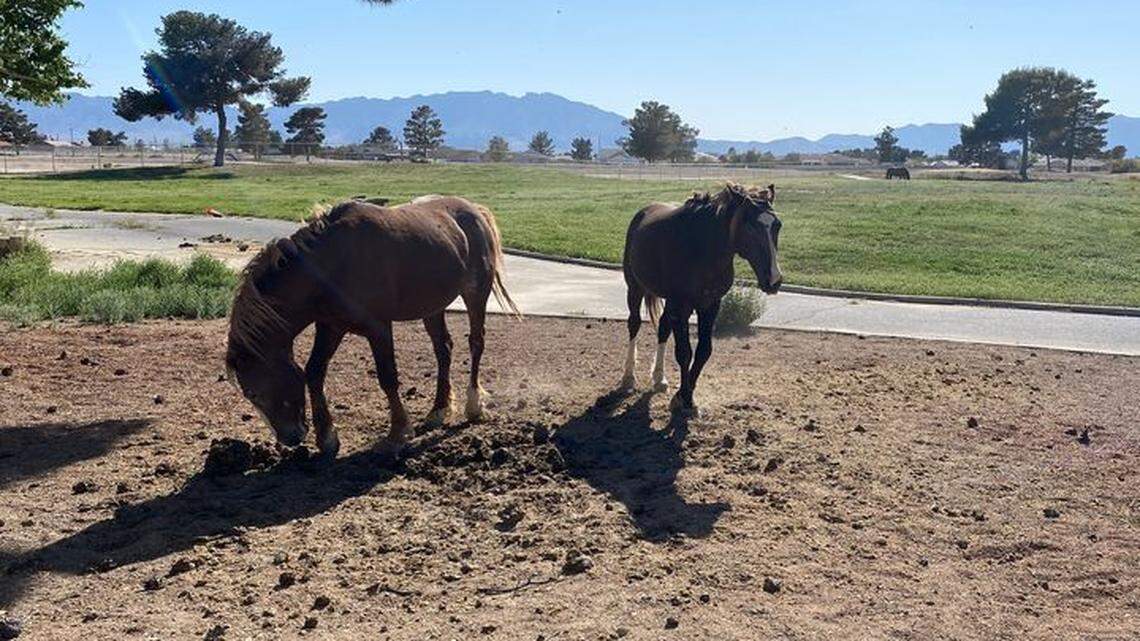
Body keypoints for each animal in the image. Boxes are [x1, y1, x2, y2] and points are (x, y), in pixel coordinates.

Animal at [225, 196, 518, 459]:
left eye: (253, 391)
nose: (289, 438)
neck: (331, 264)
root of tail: (474, 210)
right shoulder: (331, 326)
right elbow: (314, 372)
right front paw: (327, 438)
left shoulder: (378, 328)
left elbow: (387, 377)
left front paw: (397, 435)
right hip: (432, 307)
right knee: (443, 350)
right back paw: (438, 410)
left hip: (475, 294)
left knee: (476, 342)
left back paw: (474, 405)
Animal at [621, 183, 783, 417]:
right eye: (751, 227)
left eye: (777, 225)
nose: (774, 280)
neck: (702, 250)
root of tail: (643, 212)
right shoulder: (682, 307)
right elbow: (684, 353)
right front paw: (684, 399)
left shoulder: (710, 305)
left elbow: (704, 351)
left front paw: (685, 396)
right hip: (635, 289)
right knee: (633, 325)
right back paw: (628, 376)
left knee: (663, 329)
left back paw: (659, 378)